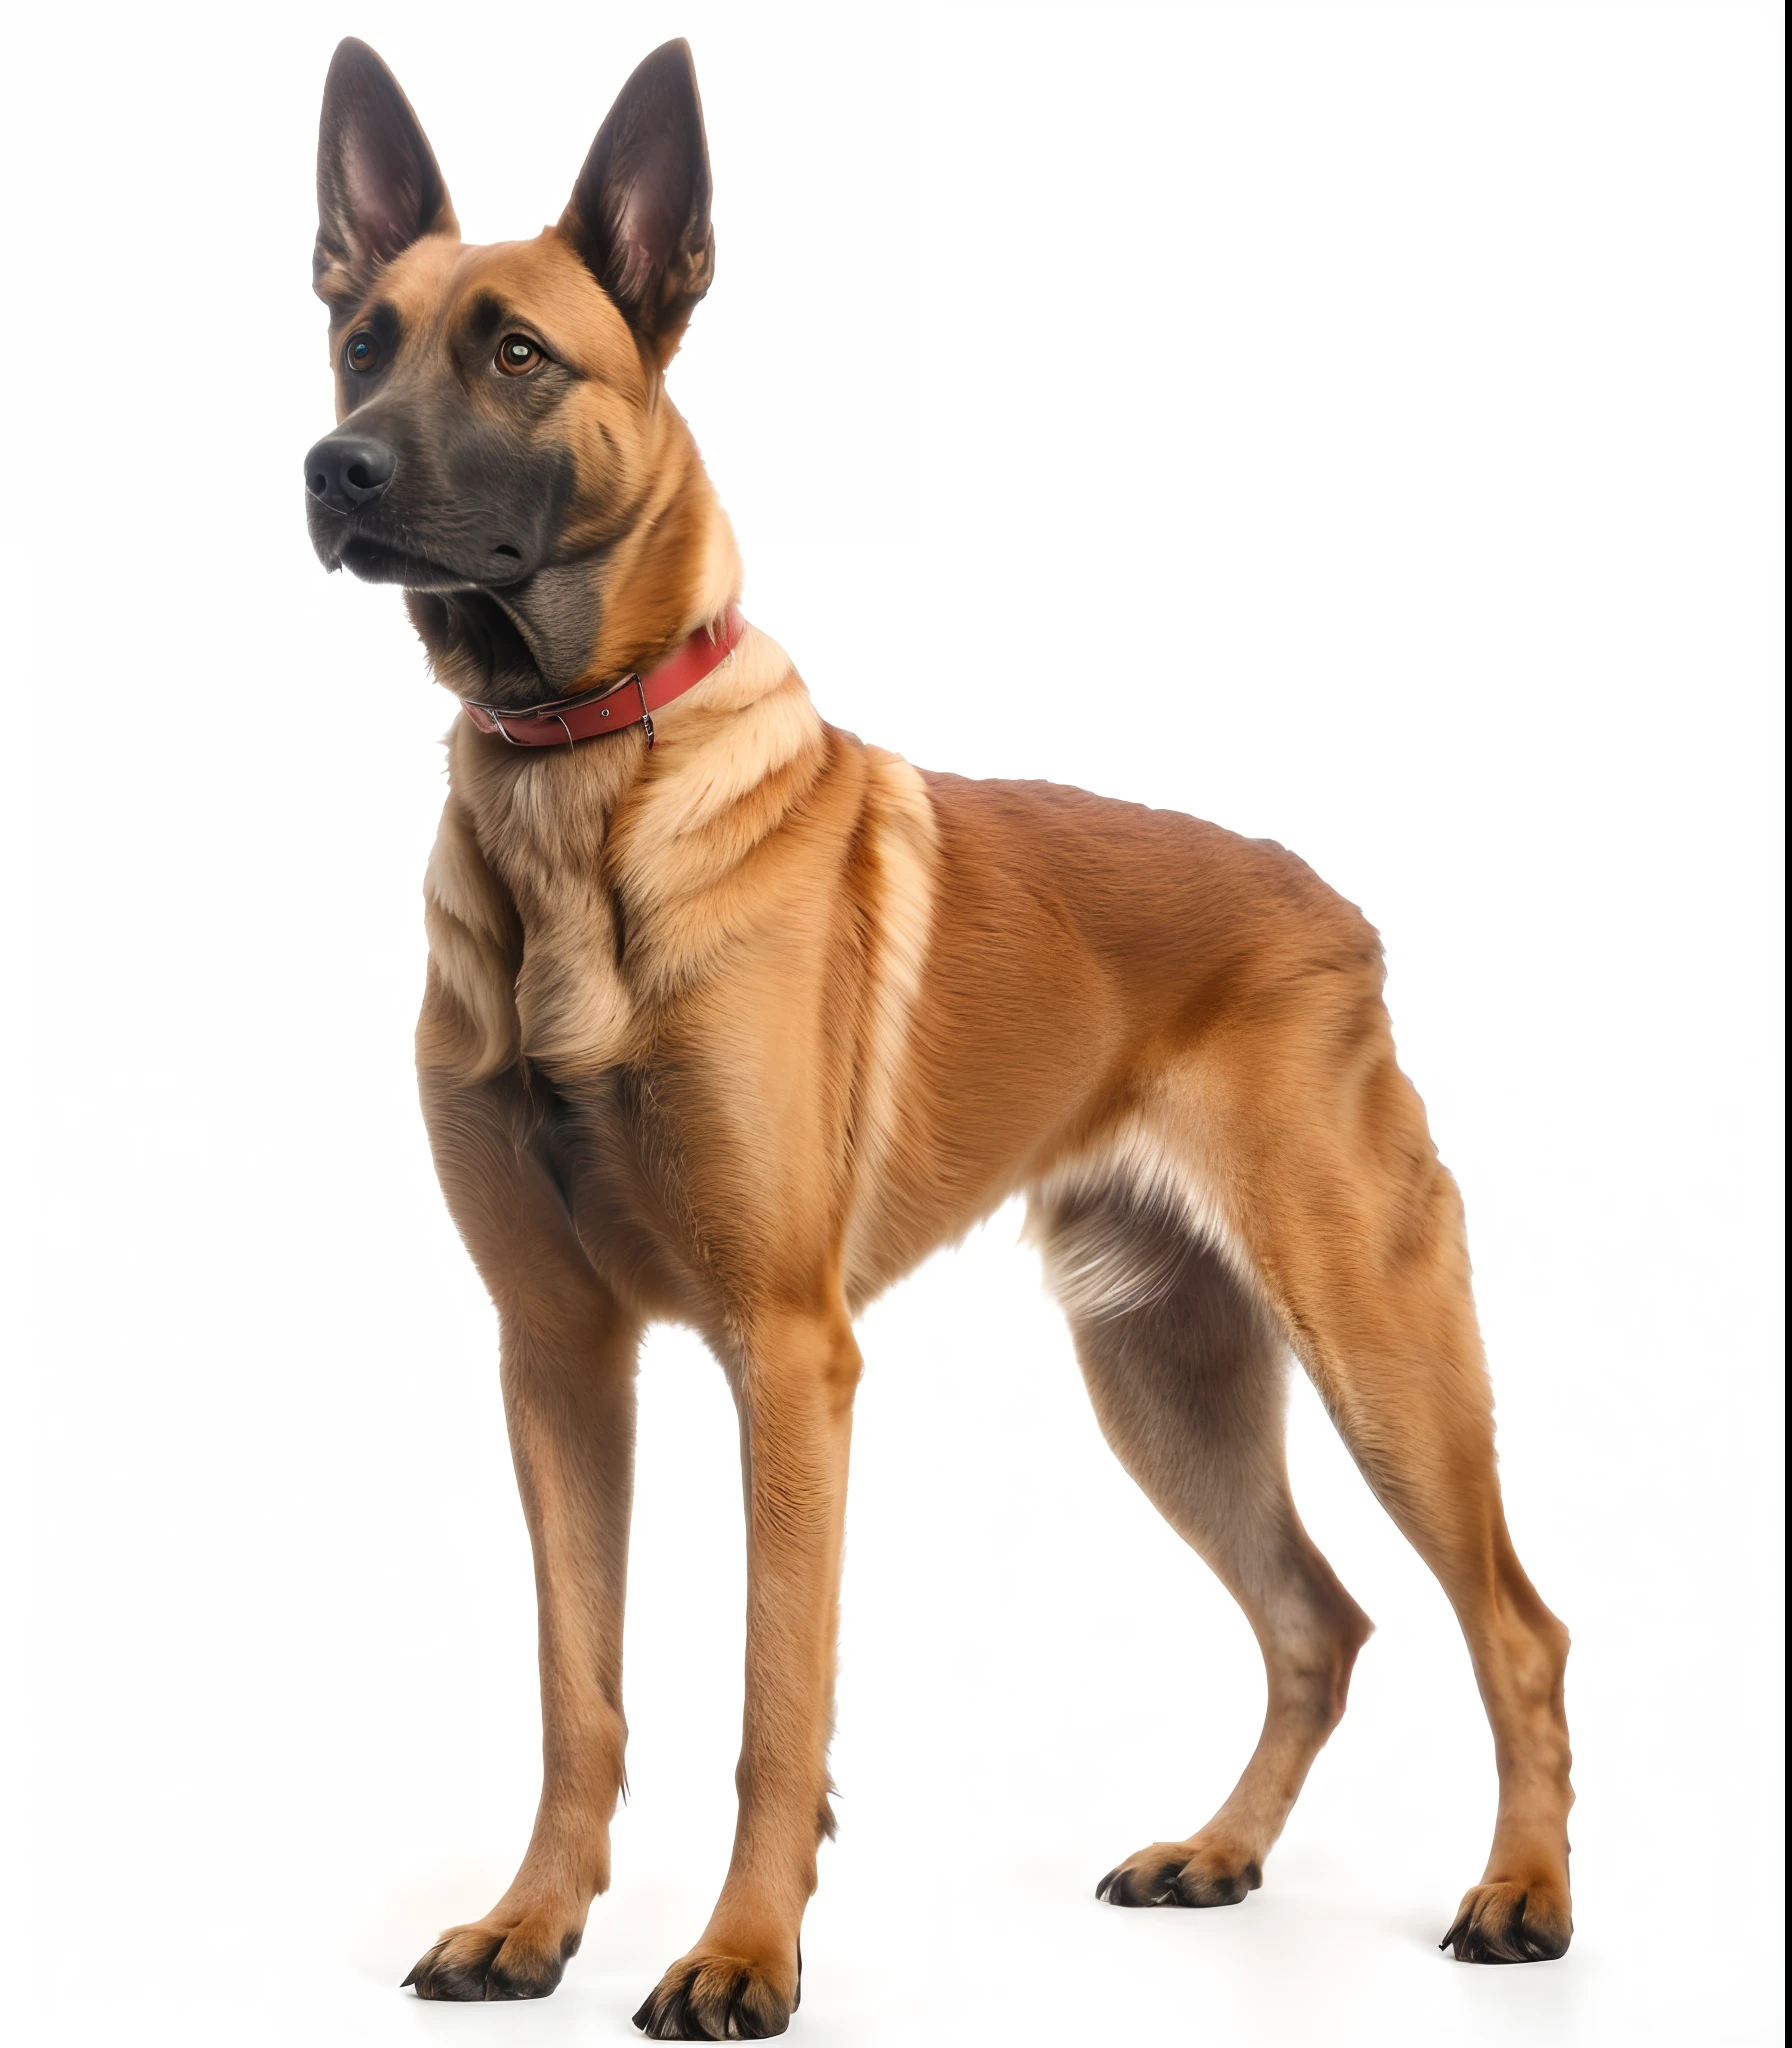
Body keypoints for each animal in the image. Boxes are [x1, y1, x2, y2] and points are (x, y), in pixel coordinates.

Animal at [305, 39, 1572, 2039]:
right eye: (361, 339)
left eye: (516, 354)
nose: (333, 469)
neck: (578, 784)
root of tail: (1326, 903)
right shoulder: (556, 1358)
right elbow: (578, 1690)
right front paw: (532, 1921)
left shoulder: (786, 1358)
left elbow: (776, 1700)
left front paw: (741, 1955)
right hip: (1165, 1376)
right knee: (1320, 1619)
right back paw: (1217, 1853)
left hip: (1380, 1348)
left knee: (1511, 1624)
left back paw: (1524, 1895)